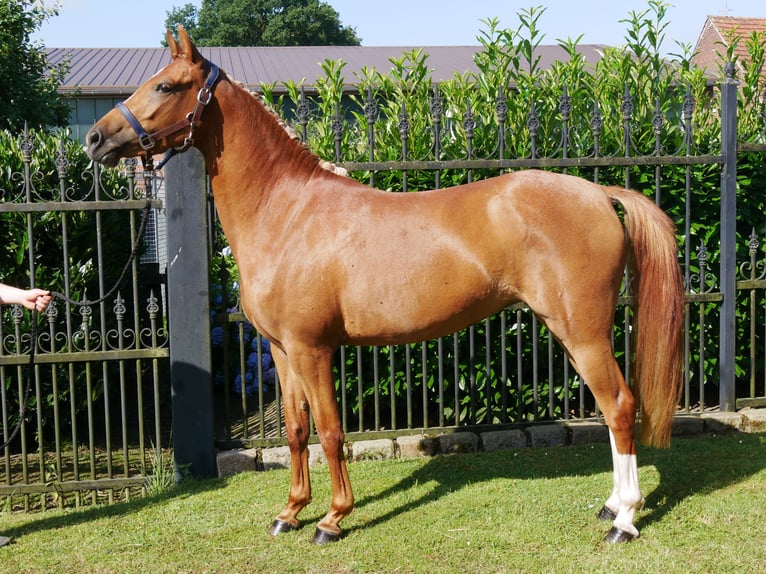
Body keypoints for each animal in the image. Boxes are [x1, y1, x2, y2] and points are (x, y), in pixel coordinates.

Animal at [87, 27, 688, 548]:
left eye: (167, 86)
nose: (96, 138)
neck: (287, 211)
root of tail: (598, 193)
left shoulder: (313, 349)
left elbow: (331, 432)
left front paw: (331, 519)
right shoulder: (282, 351)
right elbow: (296, 429)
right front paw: (289, 512)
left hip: (583, 332)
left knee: (619, 406)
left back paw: (625, 519)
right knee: (612, 409)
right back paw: (611, 506)